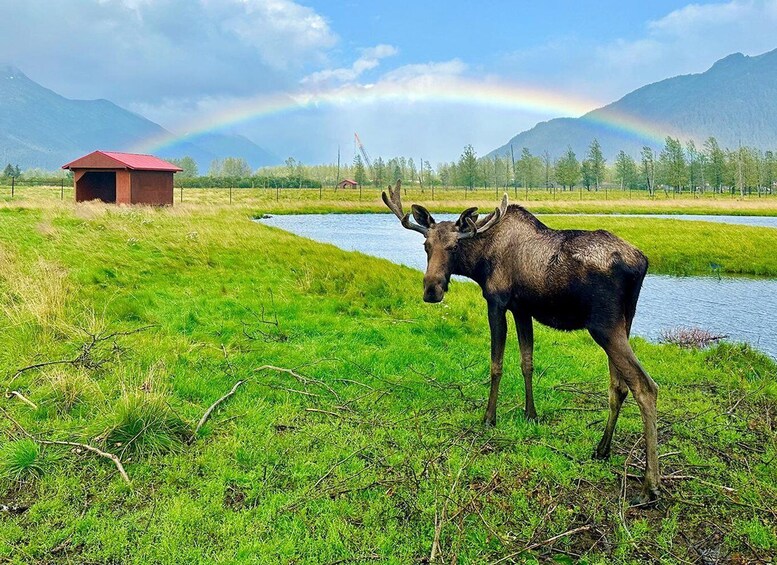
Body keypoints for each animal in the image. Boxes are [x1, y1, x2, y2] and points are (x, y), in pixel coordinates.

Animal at [382, 180, 660, 504]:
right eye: (426, 246)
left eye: (454, 247)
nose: (431, 290)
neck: (480, 263)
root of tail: (642, 262)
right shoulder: (522, 308)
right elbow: (527, 361)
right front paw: (531, 414)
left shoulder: (497, 302)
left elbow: (497, 364)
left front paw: (489, 417)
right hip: (624, 322)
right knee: (618, 386)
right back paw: (602, 449)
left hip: (604, 326)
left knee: (645, 386)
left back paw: (649, 485)